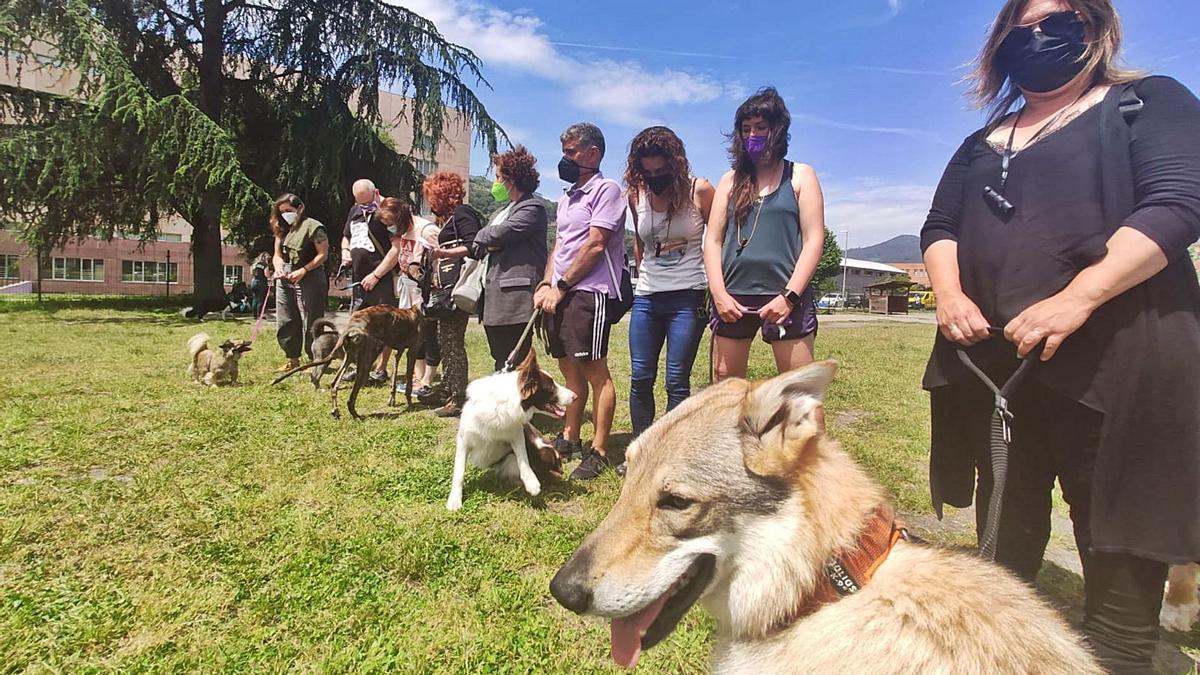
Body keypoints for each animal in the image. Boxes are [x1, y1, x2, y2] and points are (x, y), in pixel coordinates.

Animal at [274, 303, 424, 417]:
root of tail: (352, 327)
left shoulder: (398, 353)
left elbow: (394, 380)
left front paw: (392, 400)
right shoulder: (412, 352)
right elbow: (408, 385)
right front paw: (410, 404)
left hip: (348, 359)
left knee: (334, 384)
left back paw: (335, 410)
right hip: (363, 361)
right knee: (350, 397)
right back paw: (355, 415)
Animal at [448, 345, 578, 509]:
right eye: (552, 386)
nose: (576, 397)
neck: (501, 407)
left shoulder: (517, 433)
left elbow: (523, 457)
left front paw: (531, 483)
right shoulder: (464, 439)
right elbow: (458, 472)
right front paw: (454, 500)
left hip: (543, 449)